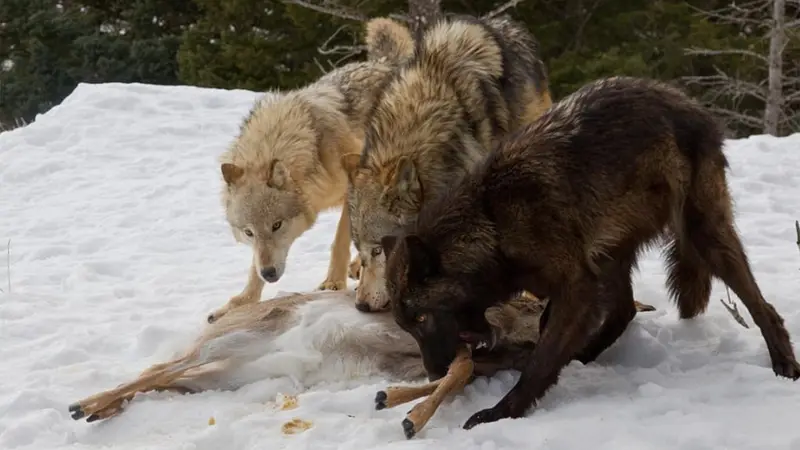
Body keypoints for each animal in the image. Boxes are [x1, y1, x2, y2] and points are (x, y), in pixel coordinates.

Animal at [208, 18, 415, 324]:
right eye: (248, 233)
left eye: (277, 225)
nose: (270, 274)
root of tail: (384, 62)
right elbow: (252, 269)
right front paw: (239, 303)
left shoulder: (351, 191)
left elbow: (340, 241)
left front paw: (333, 283)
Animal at [380, 76, 800, 430]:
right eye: (407, 325)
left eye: (422, 318)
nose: (435, 374)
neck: (492, 220)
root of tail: (690, 104)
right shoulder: (574, 280)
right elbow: (544, 337)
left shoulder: (577, 286)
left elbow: (541, 360)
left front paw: (502, 411)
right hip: (612, 256)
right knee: (624, 311)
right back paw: (581, 356)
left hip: (703, 236)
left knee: (763, 308)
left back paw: (785, 365)